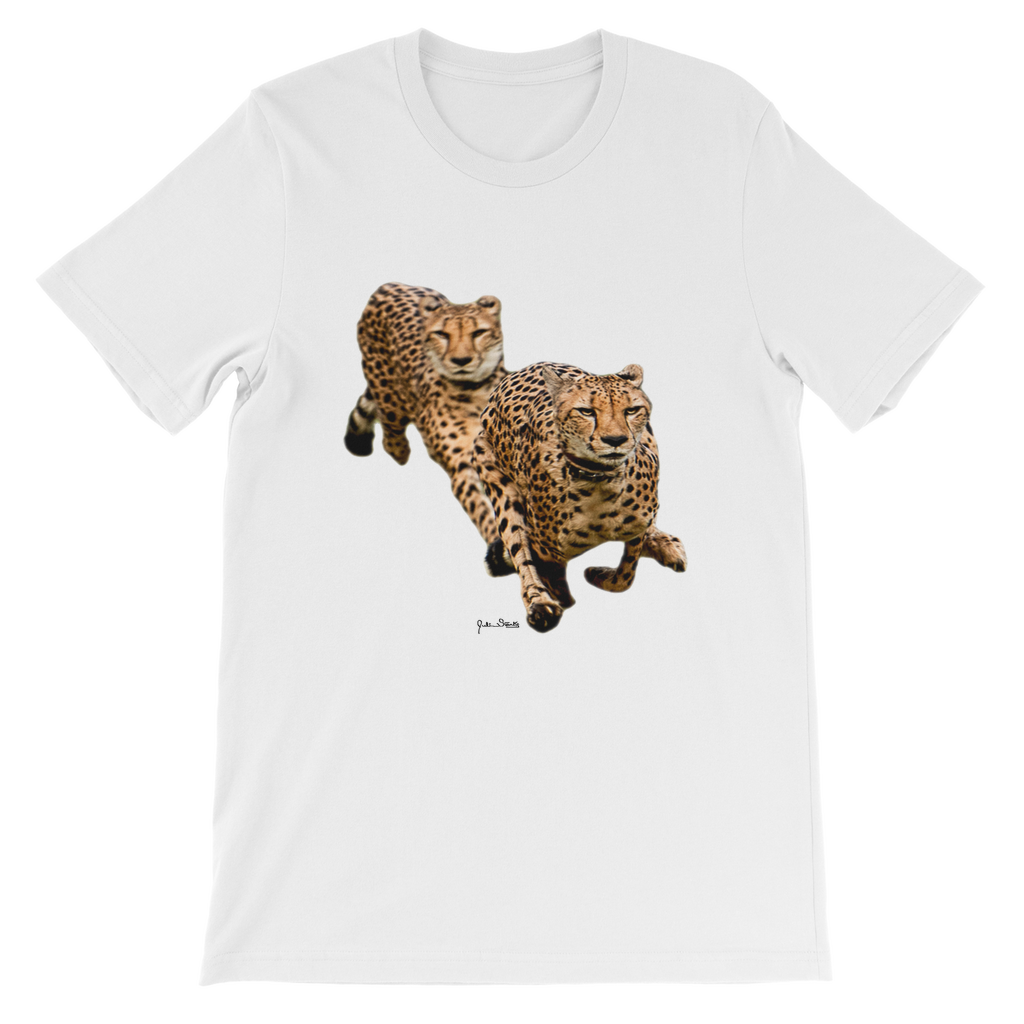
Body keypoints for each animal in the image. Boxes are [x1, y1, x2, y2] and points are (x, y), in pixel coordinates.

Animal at [345, 282, 512, 555]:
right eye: (442, 334)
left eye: (479, 332)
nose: (461, 360)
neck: (474, 390)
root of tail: (389, 285)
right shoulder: (462, 467)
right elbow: (483, 510)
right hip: (389, 397)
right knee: (391, 434)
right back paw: (400, 449)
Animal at [472, 361, 687, 632]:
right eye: (586, 412)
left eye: (631, 410)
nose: (615, 440)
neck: (599, 481)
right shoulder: (546, 550)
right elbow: (549, 574)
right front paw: (556, 598)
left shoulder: (639, 523)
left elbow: (626, 575)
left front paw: (599, 574)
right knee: (519, 548)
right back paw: (540, 603)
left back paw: (667, 545)